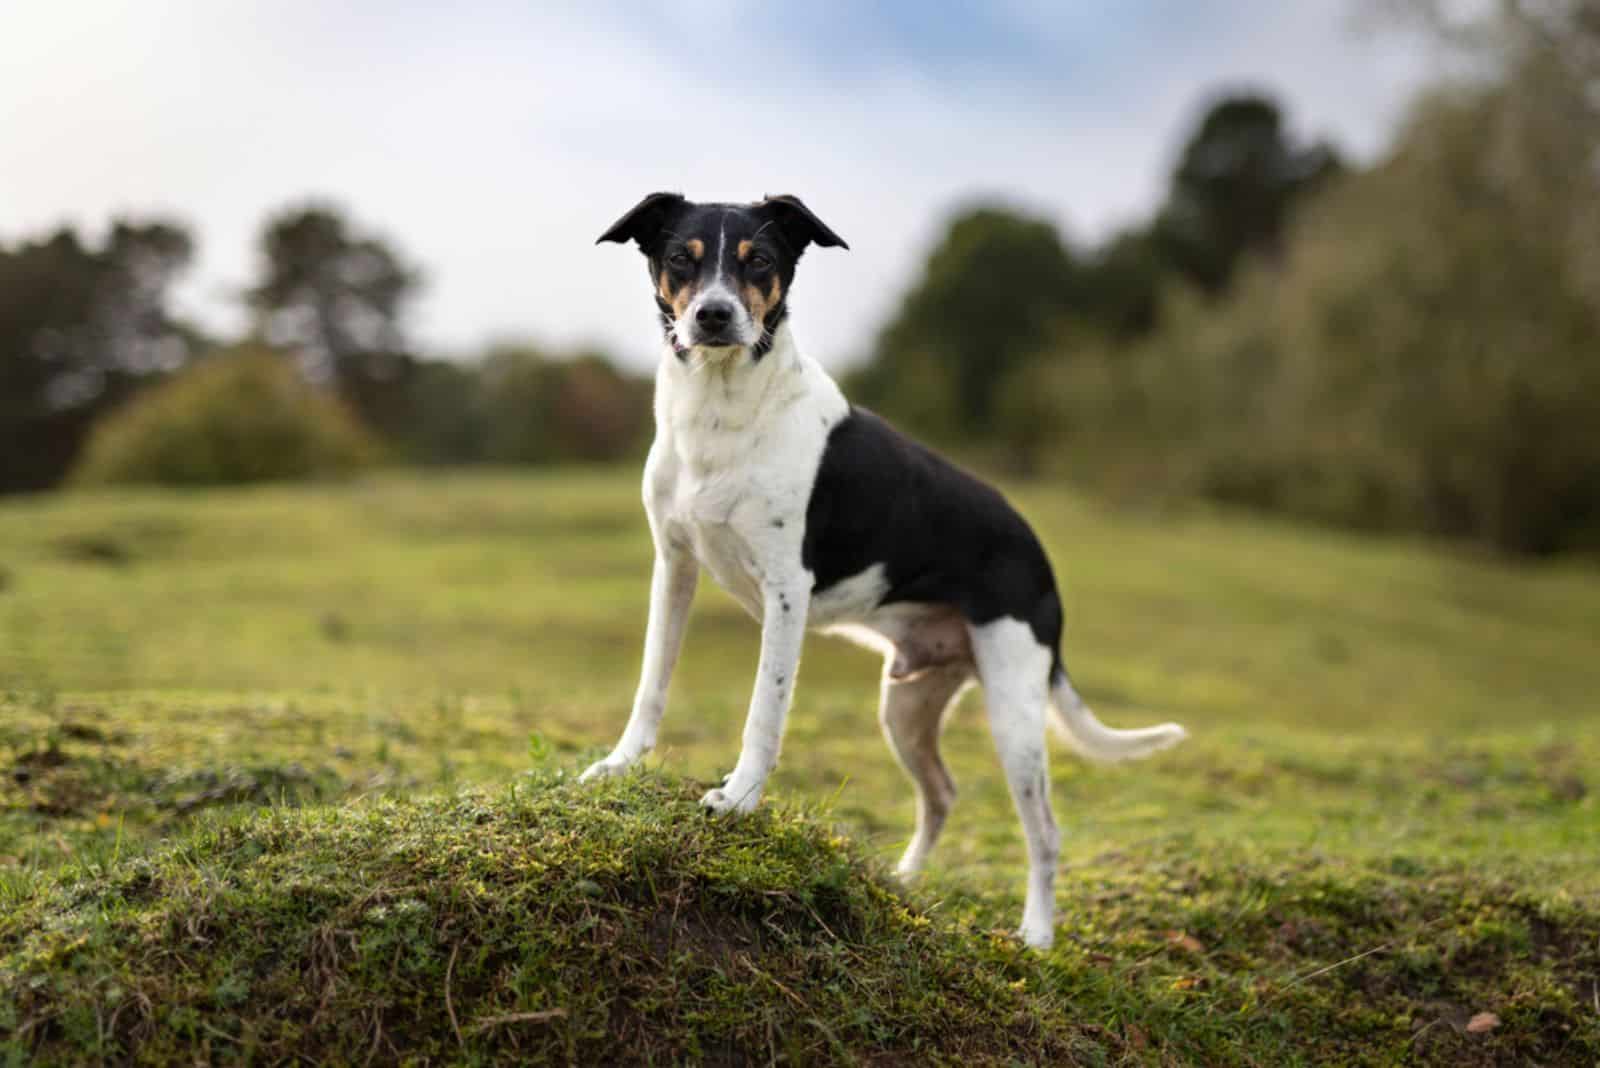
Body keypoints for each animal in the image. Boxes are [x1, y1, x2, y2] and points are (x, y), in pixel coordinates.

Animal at [582, 194, 1184, 952]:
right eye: (679, 259)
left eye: (760, 261)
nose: (714, 315)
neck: (720, 413)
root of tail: (1037, 554)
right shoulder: (675, 568)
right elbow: (651, 687)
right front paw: (619, 766)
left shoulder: (786, 594)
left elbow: (763, 713)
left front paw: (740, 798)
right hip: (907, 706)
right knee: (942, 794)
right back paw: (904, 884)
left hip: (1015, 710)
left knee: (1044, 831)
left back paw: (1036, 937)